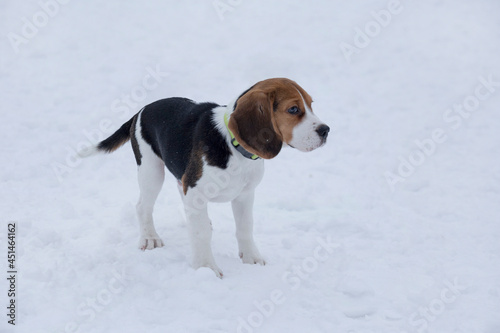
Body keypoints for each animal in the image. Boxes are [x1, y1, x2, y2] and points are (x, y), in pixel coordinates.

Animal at [82, 78, 330, 278]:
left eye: (311, 104)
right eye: (293, 109)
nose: (326, 130)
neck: (233, 145)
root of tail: (142, 110)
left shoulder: (244, 195)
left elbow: (245, 227)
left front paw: (251, 258)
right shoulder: (196, 192)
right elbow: (201, 235)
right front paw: (205, 269)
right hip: (151, 171)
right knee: (143, 206)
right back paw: (150, 238)